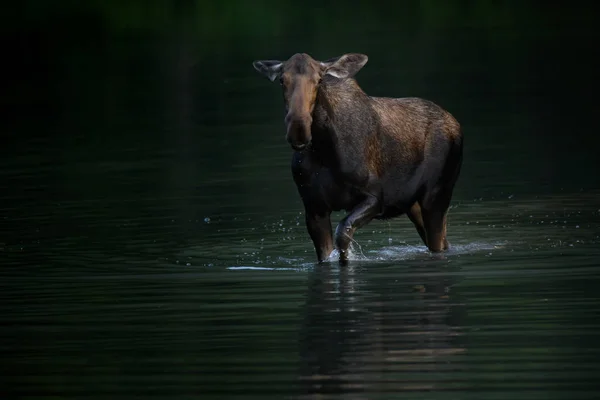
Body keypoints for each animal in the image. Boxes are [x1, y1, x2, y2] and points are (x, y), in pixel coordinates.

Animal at [253, 54, 464, 266]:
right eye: (282, 80)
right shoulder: (314, 209)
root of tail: (455, 123)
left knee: (439, 244)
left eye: (319, 80)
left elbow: (343, 235)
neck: (324, 151)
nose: (298, 130)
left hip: (435, 196)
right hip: (413, 205)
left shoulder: (375, 197)